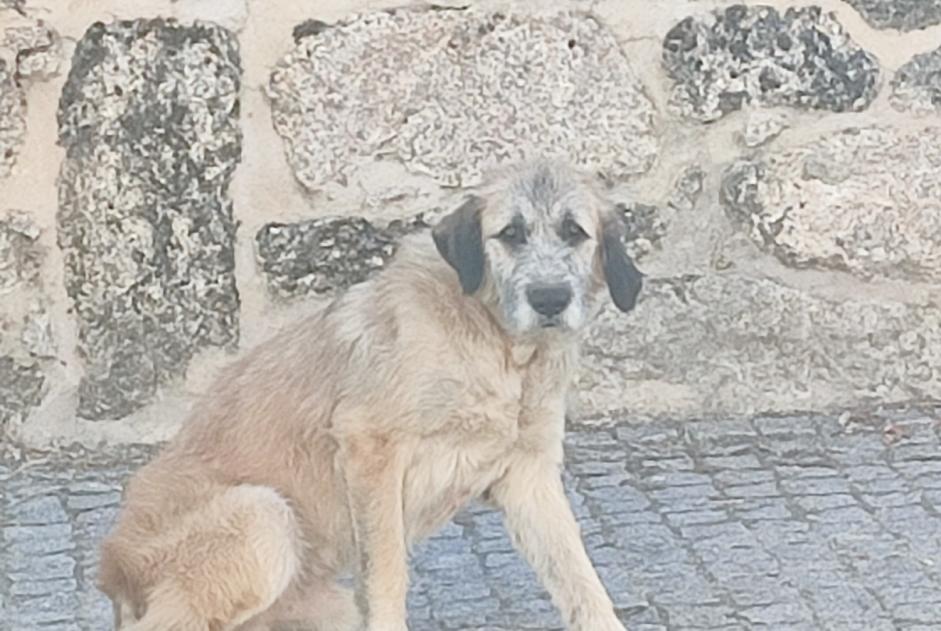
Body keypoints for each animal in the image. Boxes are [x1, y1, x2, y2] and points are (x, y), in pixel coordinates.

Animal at [99, 158, 644, 631]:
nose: (550, 299)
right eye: (511, 233)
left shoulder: (528, 476)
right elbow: (387, 573)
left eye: (575, 232)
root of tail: (115, 572)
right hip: (264, 516)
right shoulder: (372, 448)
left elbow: (579, 578)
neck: (499, 347)